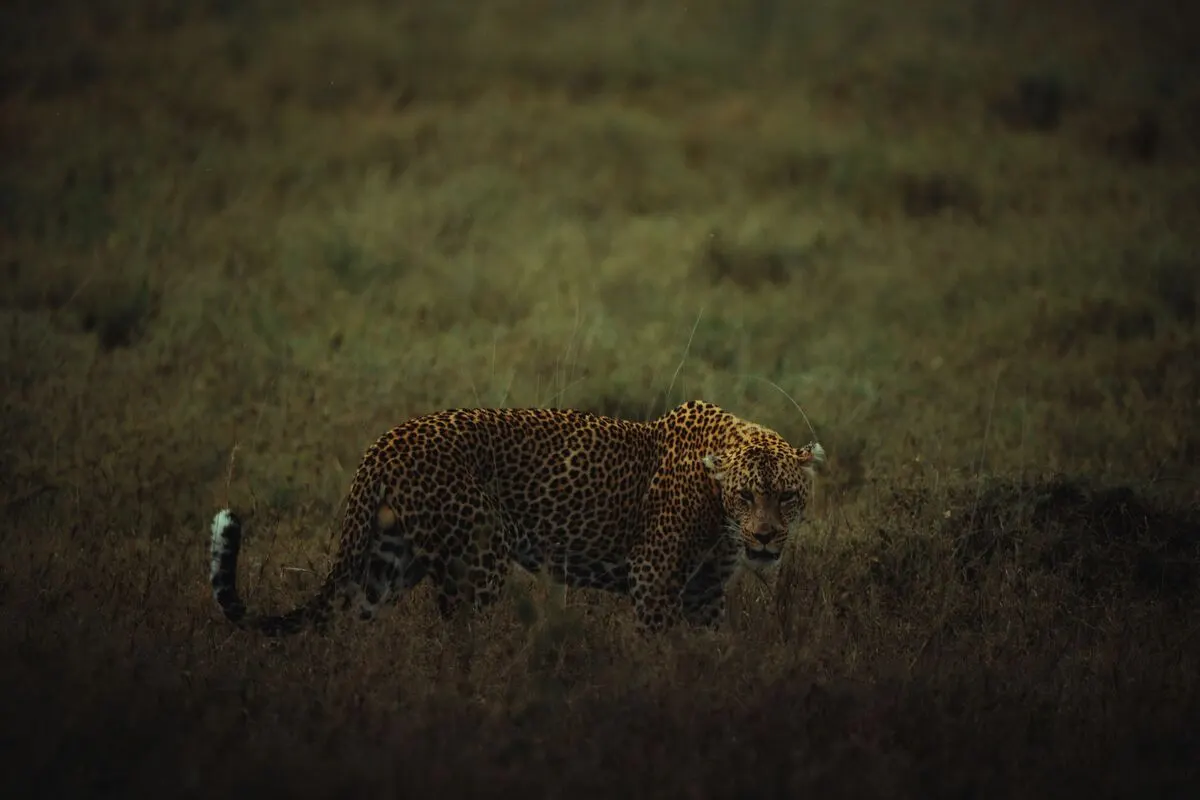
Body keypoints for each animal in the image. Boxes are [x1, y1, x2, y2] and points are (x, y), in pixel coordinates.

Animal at [208, 399, 825, 637]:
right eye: (746, 496)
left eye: (786, 497)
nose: (765, 536)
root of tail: (386, 441)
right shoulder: (654, 580)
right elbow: (660, 647)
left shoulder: (705, 593)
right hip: (480, 559)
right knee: (460, 639)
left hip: (388, 561)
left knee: (347, 621)